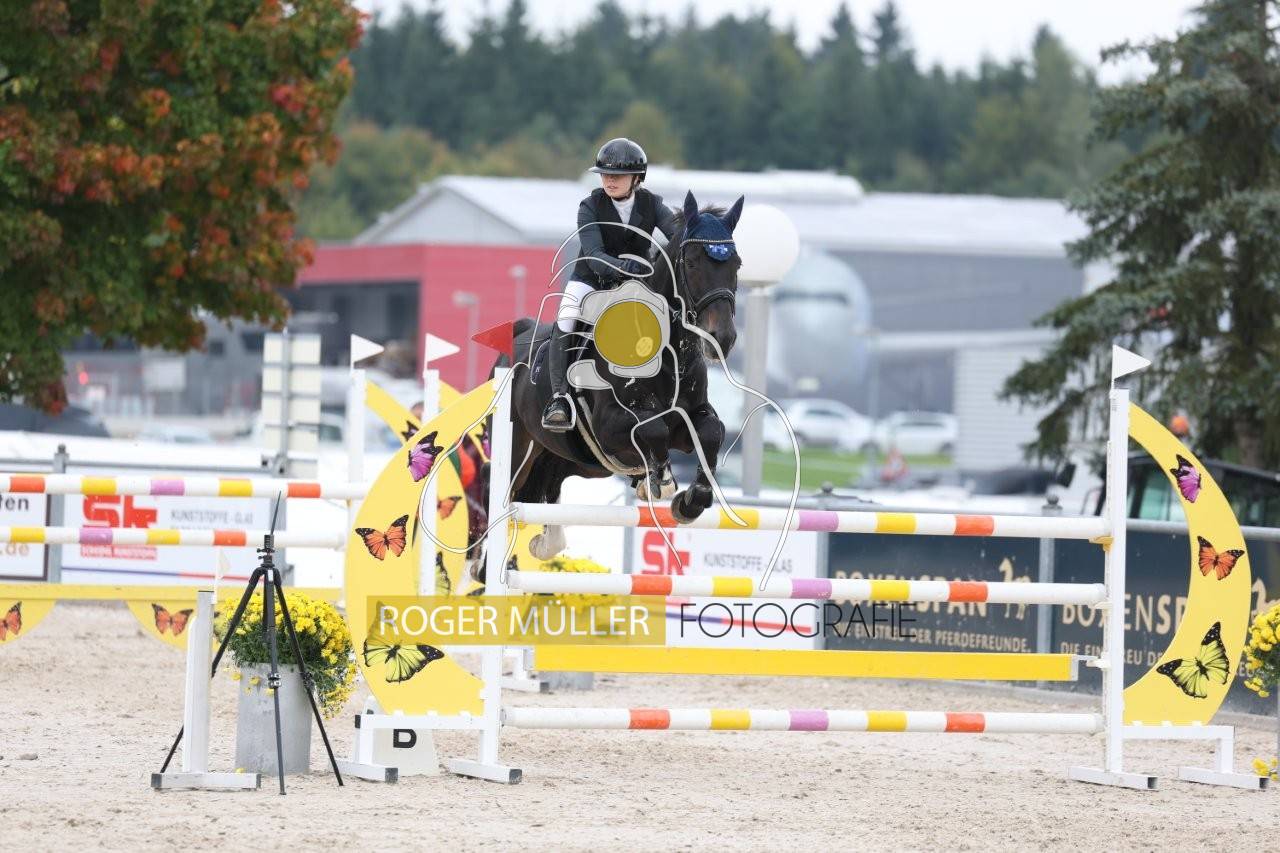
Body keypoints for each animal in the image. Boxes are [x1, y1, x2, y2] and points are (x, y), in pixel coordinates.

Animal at [488, 190, 744, 562]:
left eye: (736, 264)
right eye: (693, 263)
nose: (720, 339)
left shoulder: (691, 417)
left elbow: (711, 431)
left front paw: (689, 501)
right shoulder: (610, 426)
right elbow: (653, 428)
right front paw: (661, 481)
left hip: (571, 459)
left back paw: (546, 544)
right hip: (517, 452)